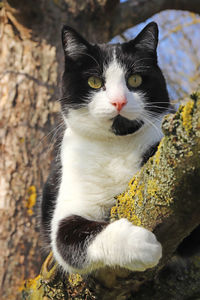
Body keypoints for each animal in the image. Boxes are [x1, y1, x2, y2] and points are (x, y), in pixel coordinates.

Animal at [39, 21, 171, 274]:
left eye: (135, 80)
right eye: (95, 82)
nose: (119, 101)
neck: (116, 147)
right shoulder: (66, 213)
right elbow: (74, 236)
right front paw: (140, 243)